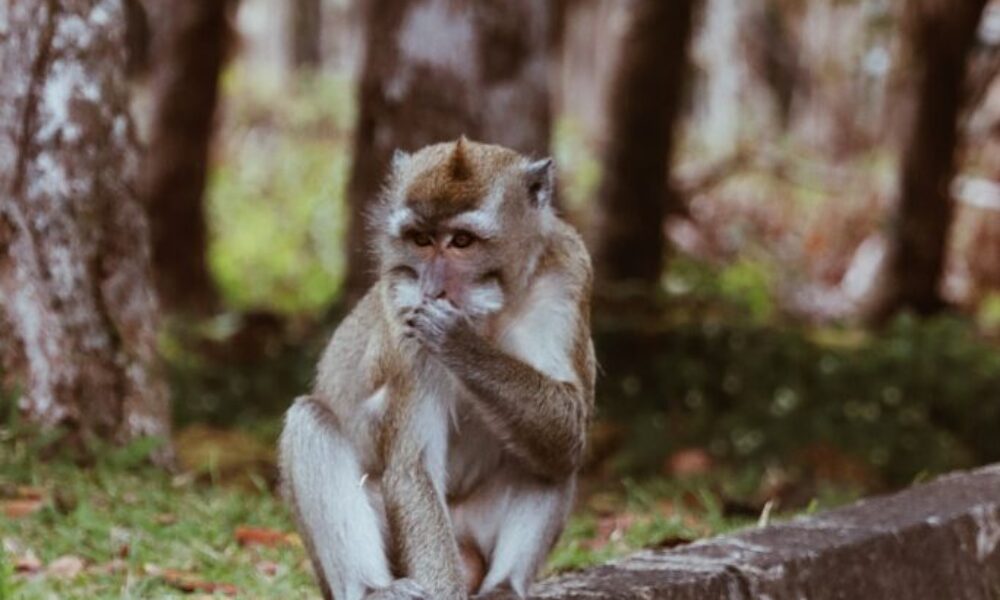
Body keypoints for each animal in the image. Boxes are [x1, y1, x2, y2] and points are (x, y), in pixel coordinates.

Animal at [280, 137, 592, 600]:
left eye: (462, 241)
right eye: (422, 239)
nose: (432, 288)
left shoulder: (568, 275)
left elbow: (569, 426)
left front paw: (458, 343)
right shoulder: (403, 307)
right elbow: (413, 467)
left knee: (550, 457)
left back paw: (504, 586)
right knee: (310, 420)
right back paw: (373, 589)